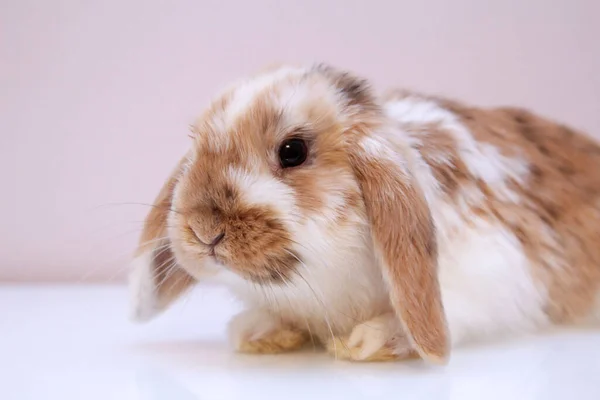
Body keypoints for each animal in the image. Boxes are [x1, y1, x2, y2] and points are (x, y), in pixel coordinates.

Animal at [127, 63, 600, 366]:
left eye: (293, 151)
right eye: (196, 146)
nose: (202, 228)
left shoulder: (492, 273)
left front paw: (366, 342)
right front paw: (257, 333)